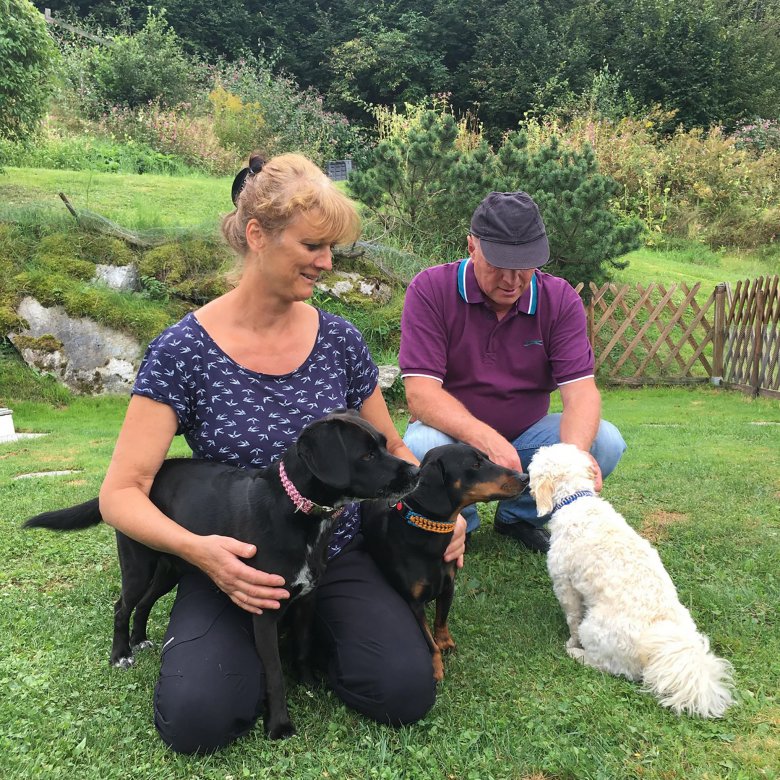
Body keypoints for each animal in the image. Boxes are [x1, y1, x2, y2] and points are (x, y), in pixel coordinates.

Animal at [22, 412, 420, 740]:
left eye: (384, 444)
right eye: (366, 455)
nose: (415, 473)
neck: (300, 512)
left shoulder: (308, 599)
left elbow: (305, 647)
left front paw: (308, 682)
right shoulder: (265, 609)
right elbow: (274, 674)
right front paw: (279, 725)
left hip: (169, 569)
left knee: (144, 604)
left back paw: (140, 639)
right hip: (138, 564)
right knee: (122, 606)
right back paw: (120, 653)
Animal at [362, 444, 528, 684]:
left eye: (487, 457)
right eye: (475, 464)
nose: (525, 477)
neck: (426, 535)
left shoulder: (448, 586)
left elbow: (441, 620)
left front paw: (445, 643)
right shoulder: (414, 602)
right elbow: (427, 639)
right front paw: (436, 666)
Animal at [528, 444, 736, 720]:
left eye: (531, 470)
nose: (522, 478)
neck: (577, 501)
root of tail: (658, 649)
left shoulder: (565, 585)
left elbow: (572, 618)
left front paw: (571, 642)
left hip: (593, 628)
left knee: (607, 665)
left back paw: (577, 653)